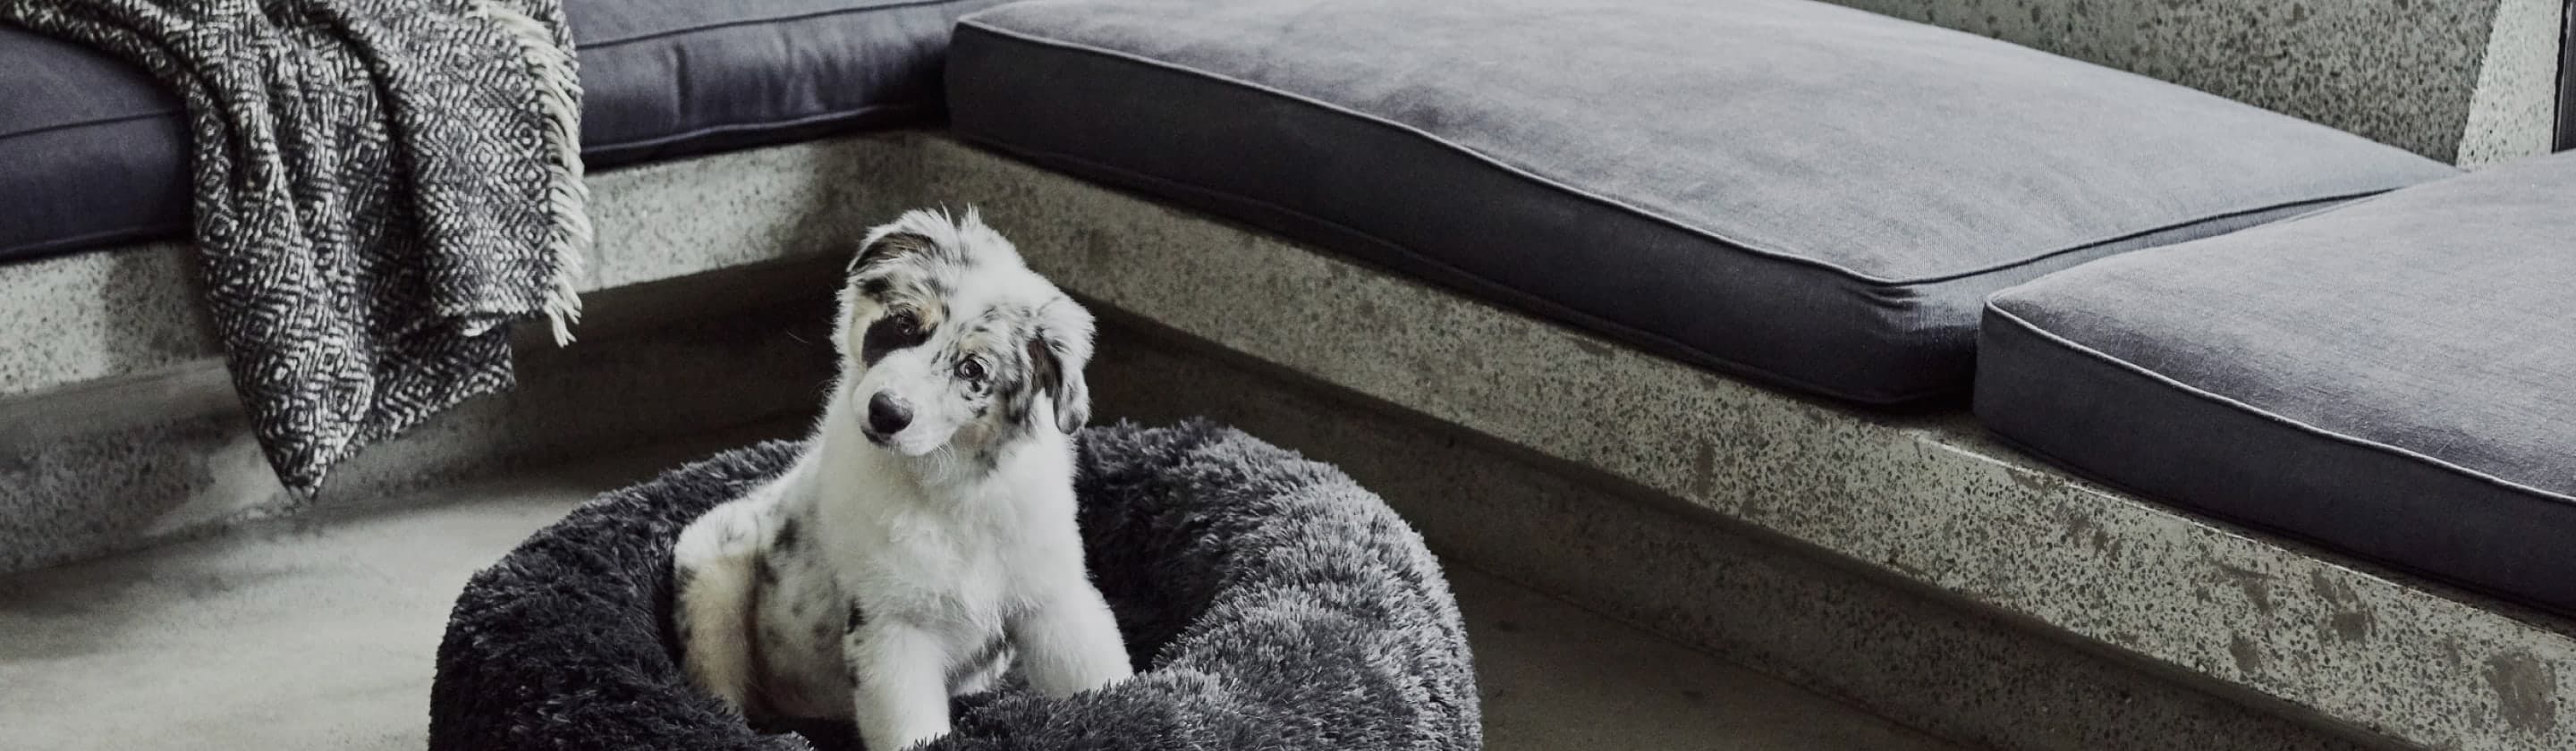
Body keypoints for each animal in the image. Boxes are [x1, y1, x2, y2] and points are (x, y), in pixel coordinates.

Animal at [674, 208, 1128, 746]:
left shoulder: (1055, 601)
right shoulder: (893, 628)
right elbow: (911, 731)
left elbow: (1101, 680)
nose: (887, 412)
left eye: (973, 369)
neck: (950, 490)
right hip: (711, 576)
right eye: (905, 324)